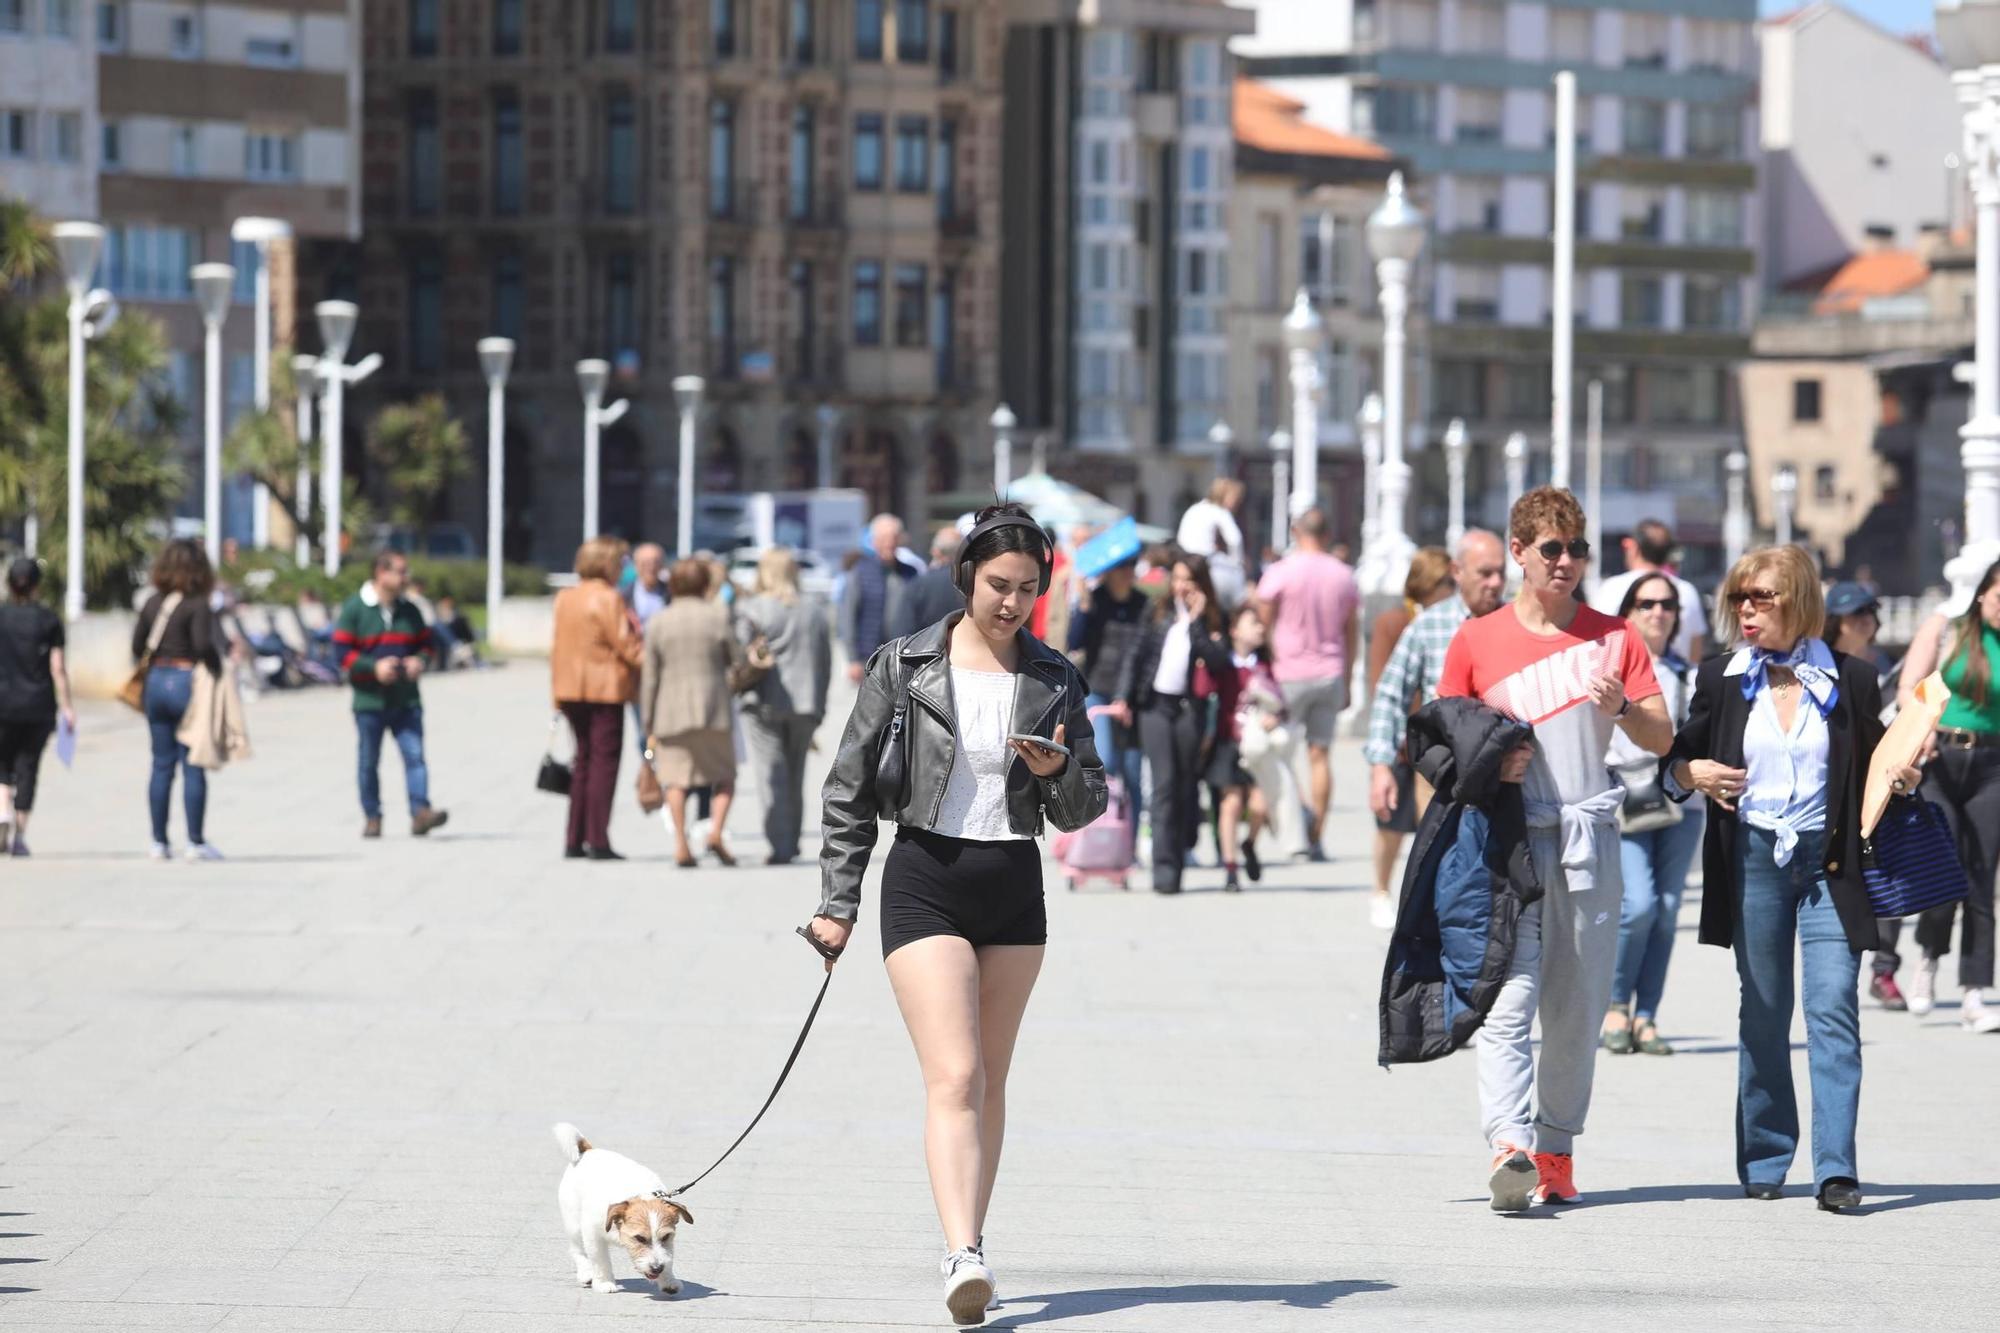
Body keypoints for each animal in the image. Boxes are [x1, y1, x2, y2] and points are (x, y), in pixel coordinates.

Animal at [556, 1112, 696, 1288]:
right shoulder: (592, 1234)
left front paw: (668, 1280)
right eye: (639, 1238)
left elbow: (667, 1255)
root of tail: (587, 1151)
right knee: (577, 1250)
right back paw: (586, 1273)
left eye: (665, 1237)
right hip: (574, 1224)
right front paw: (604, 1282)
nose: (657, 1268)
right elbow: (600, 1260)